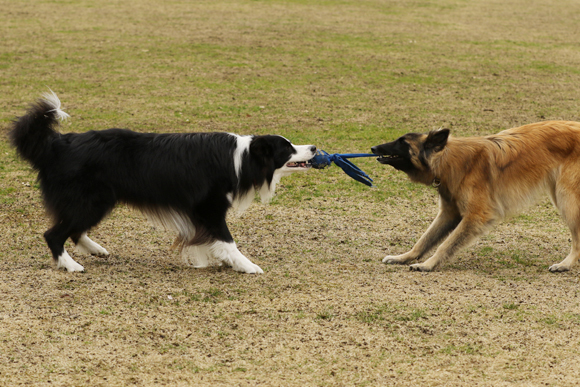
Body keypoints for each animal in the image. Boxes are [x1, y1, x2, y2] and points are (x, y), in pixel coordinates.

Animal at [10, 91, 318, 274]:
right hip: (89, 200)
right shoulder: (209, 207)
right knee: (54, 234)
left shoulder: (199, 213)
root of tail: (57, 145)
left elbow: (206, 240)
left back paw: (96, 250)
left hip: (98, 201)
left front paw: (214, 259)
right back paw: (71, 265)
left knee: (72, 230)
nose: (314, 147)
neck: (242, 157)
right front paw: (246, 264)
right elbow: (227, 239)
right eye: (287, 148)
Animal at [372, 122, 580, 272]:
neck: (448, 158)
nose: (373, 148)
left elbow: (445, 245)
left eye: (402, 143)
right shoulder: (449, 213)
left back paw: (565, 264)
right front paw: (403, 257)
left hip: (566, 200)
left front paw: (427, 264)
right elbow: (424, 240)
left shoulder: (476, 216)